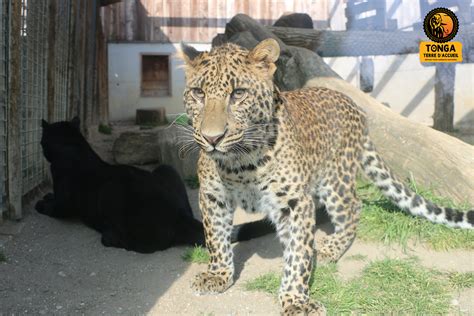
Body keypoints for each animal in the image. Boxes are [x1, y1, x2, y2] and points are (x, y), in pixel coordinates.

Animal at [179, 38, 474, 314]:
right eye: (198, 93)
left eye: (238, 93)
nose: (212, 138)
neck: (240, 163)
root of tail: (354, 106)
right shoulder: (212, 197)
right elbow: (216, 239)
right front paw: (218, 275)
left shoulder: (294, 202)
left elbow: (297, 254)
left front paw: (295, 300)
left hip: (336, 181)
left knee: (354, 207)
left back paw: (330, 248)